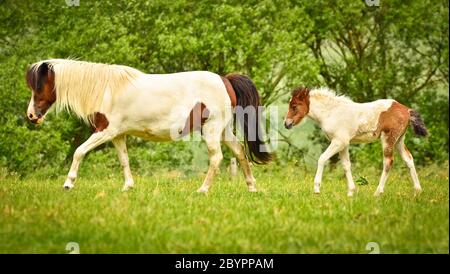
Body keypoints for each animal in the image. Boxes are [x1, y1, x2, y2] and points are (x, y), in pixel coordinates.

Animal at [26, 59, 272, 193]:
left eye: (39, 87)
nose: (31, 115)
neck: (105, 89)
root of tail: (225, 79)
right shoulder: (118, 135)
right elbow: (124, 160)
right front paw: (128, 186)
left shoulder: (105, 131)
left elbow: (79, 151)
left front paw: (68, 183)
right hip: (223, 130)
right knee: (240, 151)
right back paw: (252, 187)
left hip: (211, 129)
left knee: (217, 158)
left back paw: (202, 189)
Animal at [284, 86, 428, 196]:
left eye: (294, 106)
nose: (286, 124)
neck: (331, 112)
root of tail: (406, 110)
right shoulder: (344, 144)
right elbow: (346, 165)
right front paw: (351, 192)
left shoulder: (338, 142)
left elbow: (322, 159)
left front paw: (317, 189)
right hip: (399, 140)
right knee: (408, 159)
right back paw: (417, 191)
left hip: (388, 138)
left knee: (388, 162)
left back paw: (378, 192)